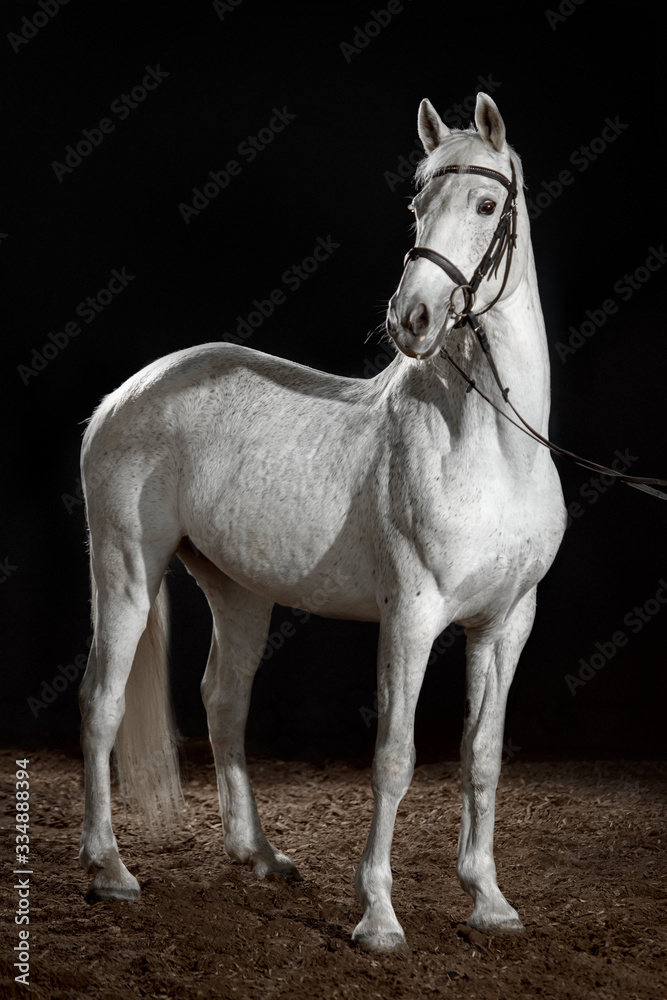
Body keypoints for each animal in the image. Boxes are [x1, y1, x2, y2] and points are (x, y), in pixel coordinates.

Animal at [78, 91, 566, 954]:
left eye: (485, 205)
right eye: (415, 205)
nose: (412, 318)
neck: (492, 449)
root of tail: (127, 392)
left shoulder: (505, 623)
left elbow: (481, 756)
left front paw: (488, 900)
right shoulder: (410, 618)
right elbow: (395, 757)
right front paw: (377, 917)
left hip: (237, 590)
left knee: (223, 701)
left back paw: (260, 856)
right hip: (125, 568)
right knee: (102, 702)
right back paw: (110, 870)